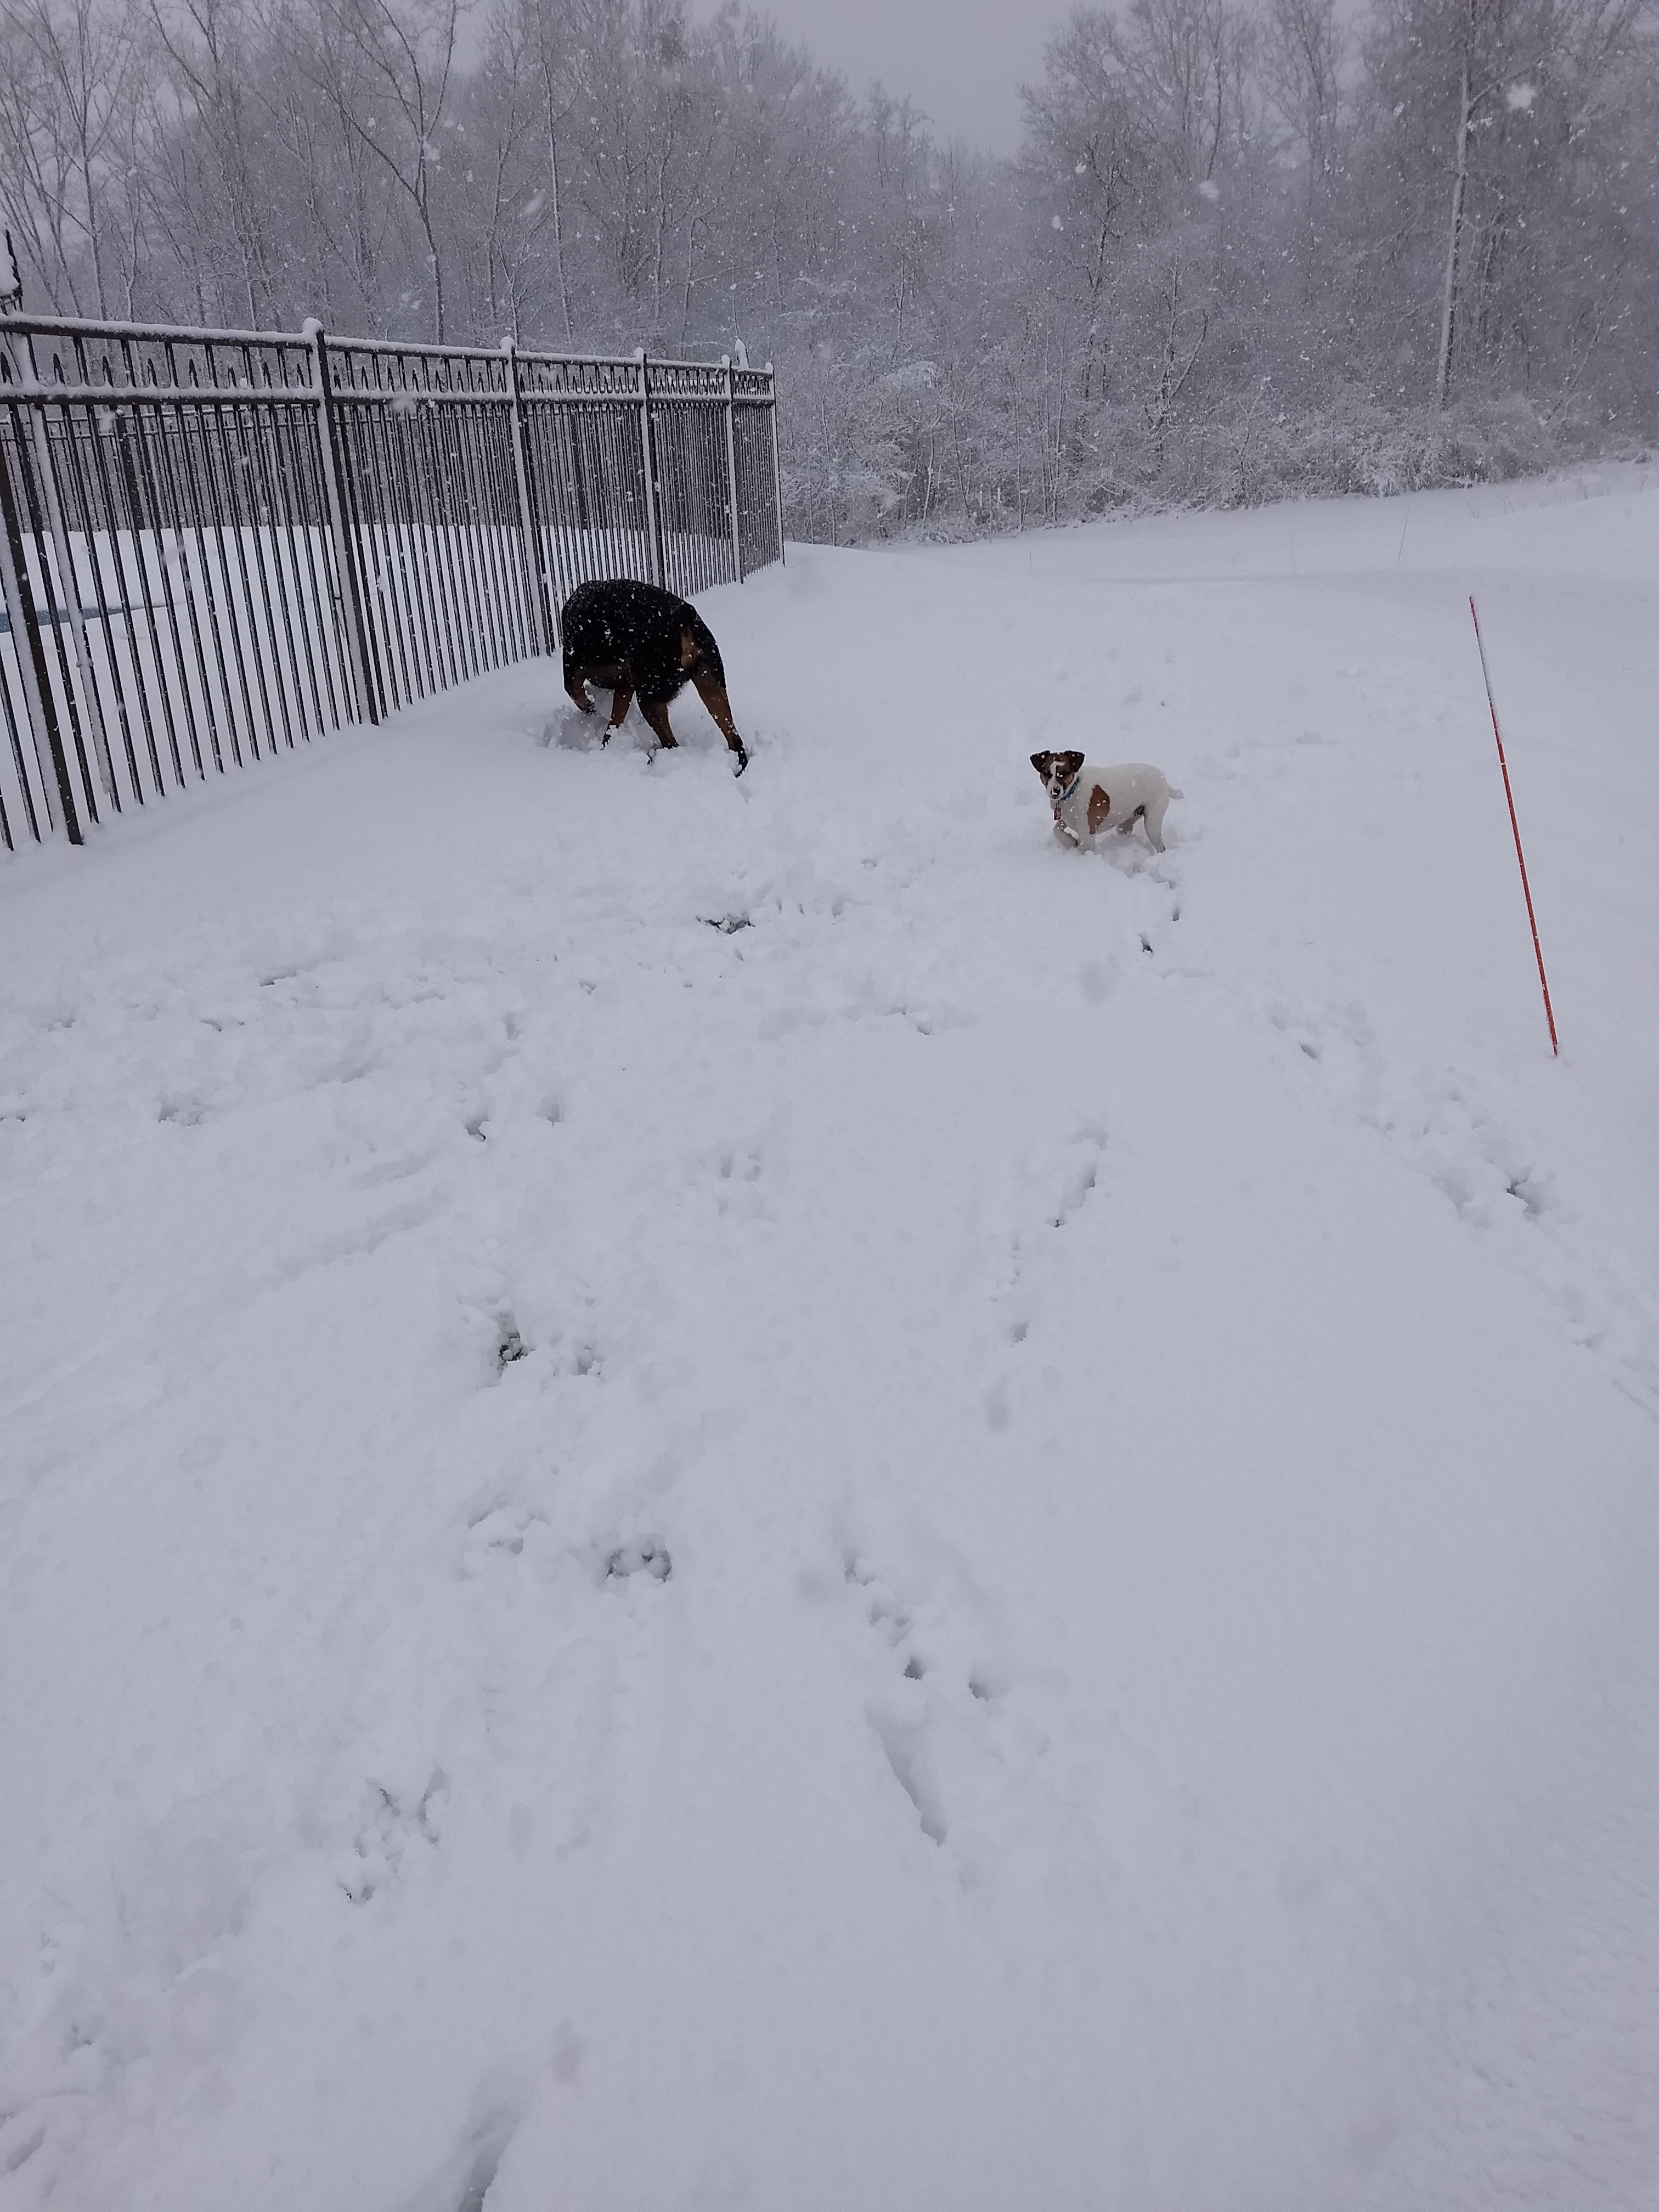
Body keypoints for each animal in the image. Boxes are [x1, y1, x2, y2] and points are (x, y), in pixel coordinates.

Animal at [561, 578, 748, 774]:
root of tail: (681, 618)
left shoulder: (573, 673)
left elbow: (579, 697)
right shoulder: (626, 685)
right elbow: (614, 721)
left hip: (650, 697)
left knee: (671, 744)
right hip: (712, 685)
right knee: (735, 740)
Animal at [1031, 750, 1182, 852]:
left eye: (1065, 773)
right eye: (1047, 774)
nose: (1055, 791)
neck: (1073, 790)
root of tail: (1164, 782)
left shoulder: (1088, 833)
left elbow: (1085, 847)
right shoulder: (1066, 818)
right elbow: (1056, 829)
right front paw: (1070, 841)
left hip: (1152, 822)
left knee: (1160, 846)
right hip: (1126, 823)